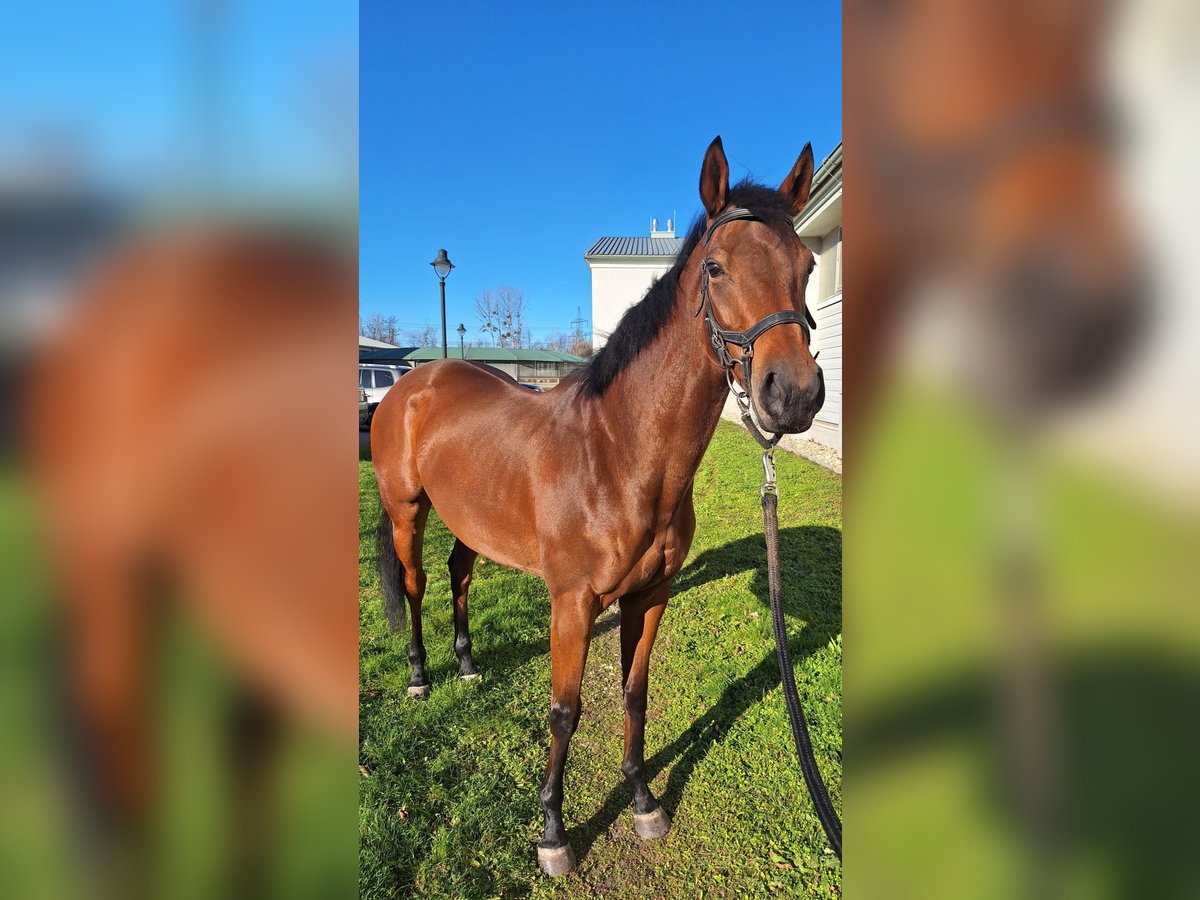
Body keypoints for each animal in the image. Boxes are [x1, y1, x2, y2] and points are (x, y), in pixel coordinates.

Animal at [372, 137, 825, 878]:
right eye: (716, 267)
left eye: (808, 266)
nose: (794, 394)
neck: (616, 452)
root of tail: (415, 381)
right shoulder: (573, 603)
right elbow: (564, 709)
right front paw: (553, 833)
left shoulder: (651, 595)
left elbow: (634, 694)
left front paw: (642, 800)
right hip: (408, 511)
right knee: (415, 585)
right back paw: (418, 675)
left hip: (474, 520)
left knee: (459, 573)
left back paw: (466, 664)